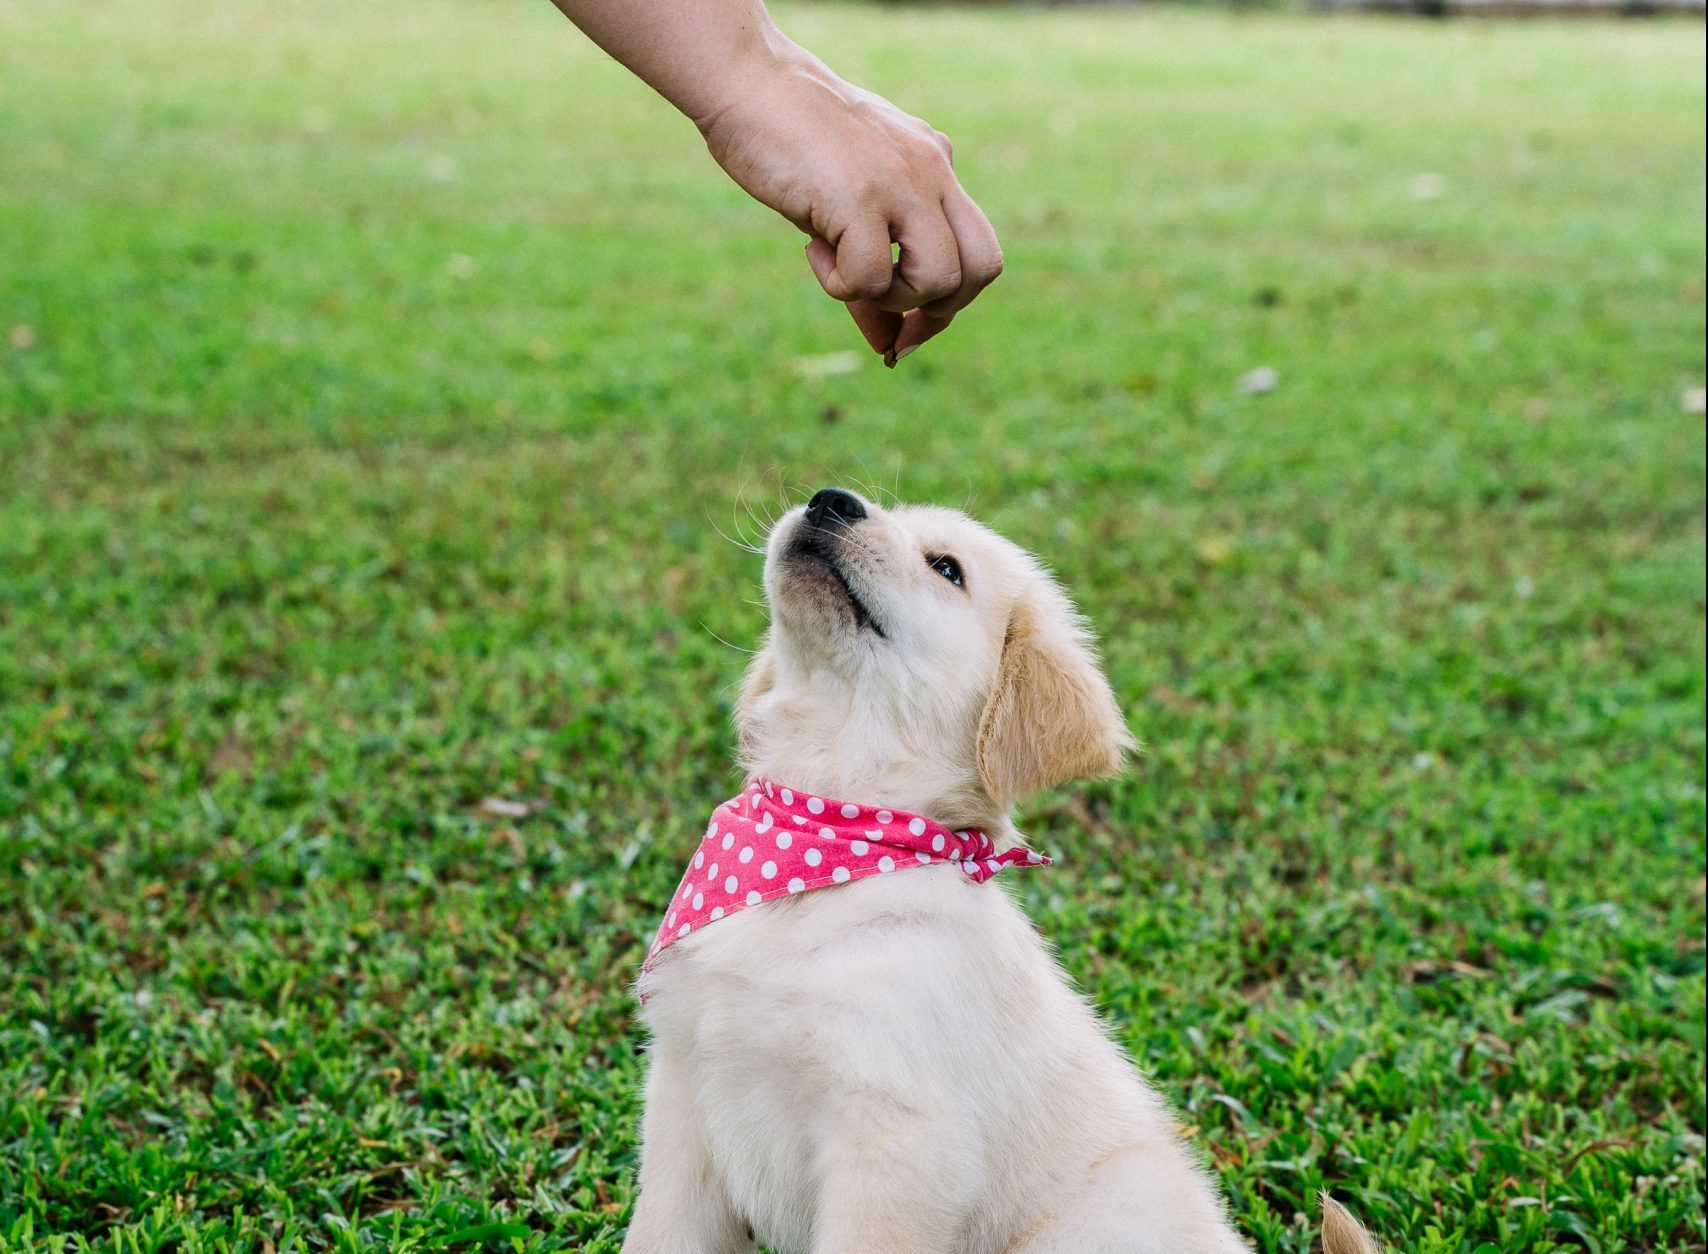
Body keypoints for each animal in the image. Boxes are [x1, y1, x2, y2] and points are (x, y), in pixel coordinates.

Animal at [628, 492, 1373, 1254]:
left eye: (947, 568)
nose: (831, 500)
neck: (830, 837)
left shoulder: (895, 1140)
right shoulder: (681, 1096)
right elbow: (658, 1235)